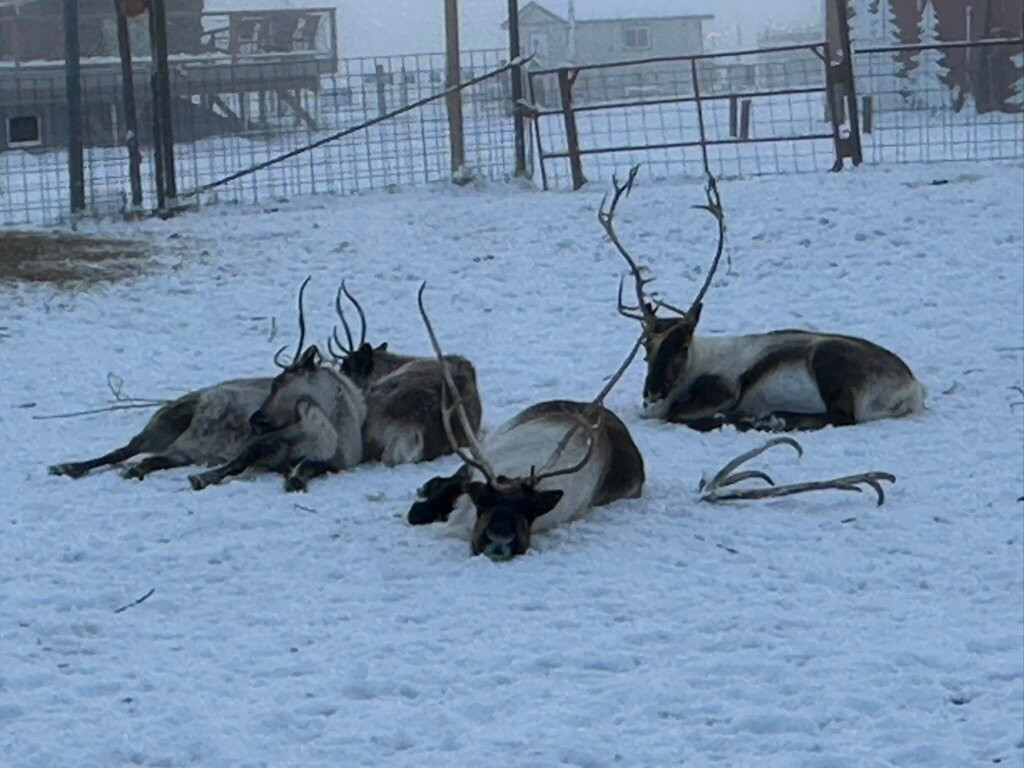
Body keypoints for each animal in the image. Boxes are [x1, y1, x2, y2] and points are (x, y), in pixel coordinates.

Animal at [600, 166, 927, 432]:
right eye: (646, 346)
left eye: (682, 345)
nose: (651, 393)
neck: (696, 364)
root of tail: (911, 387)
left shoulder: (724, 391)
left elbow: (678, 415)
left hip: (829, 361)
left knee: (840, 416)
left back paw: (769, 418)